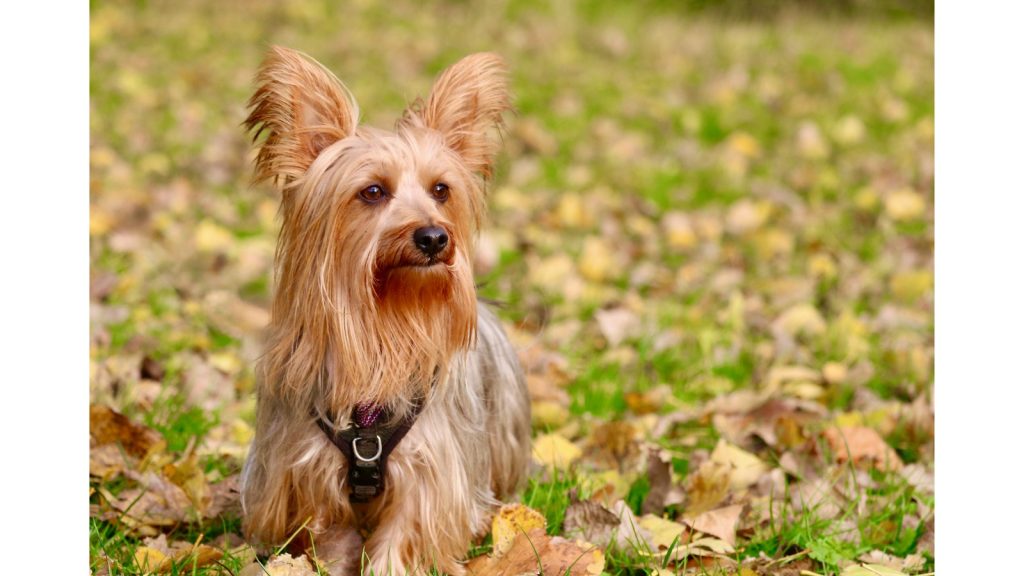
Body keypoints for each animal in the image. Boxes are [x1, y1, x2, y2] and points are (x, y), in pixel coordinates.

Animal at [237, 47, 528, 569]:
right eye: (372, 191)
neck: (386, 322)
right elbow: (331, 537)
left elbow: (402, 537)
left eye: (441, 190)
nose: (434, 237)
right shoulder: (308, 474)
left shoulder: (430, 473)